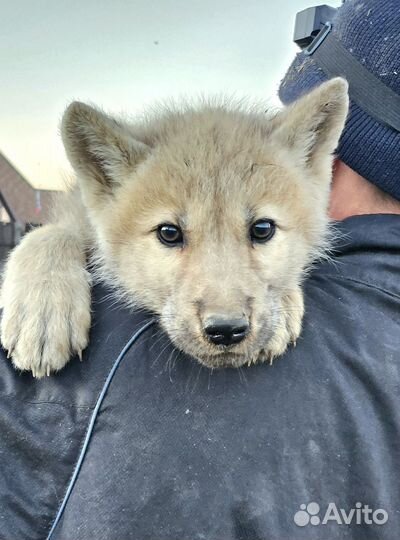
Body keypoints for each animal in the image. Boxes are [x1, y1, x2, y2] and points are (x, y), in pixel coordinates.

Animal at [0, 78, 346, 378]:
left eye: (262, 229)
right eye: (169, 233)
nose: (226, 330)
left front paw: (284, 301)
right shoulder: (74, 215)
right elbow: (51, 233)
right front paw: (42, 311)